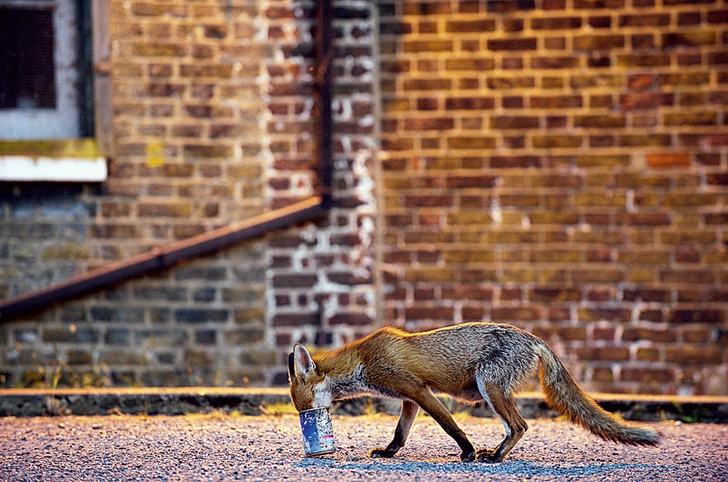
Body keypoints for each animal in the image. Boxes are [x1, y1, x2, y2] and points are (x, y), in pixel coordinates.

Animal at [288, 322, 664, 462]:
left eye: (305, 408)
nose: (308, 422)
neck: (364, 361)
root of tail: (535, 339)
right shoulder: (409, 399)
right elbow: (400, 434)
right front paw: (389, 453)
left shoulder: (419, 391)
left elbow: (451, 426)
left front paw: (466, 452)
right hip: (493, 390)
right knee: (517, 426)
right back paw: (496, 452)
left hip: (490, 387)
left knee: (520, 426)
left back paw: (494, 457)